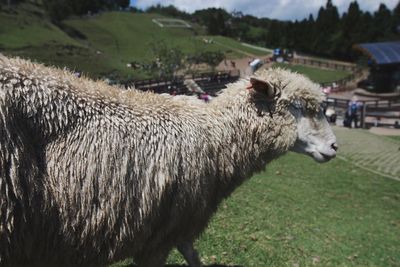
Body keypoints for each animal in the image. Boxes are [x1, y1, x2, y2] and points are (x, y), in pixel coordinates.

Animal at [0, 55, 338, 267]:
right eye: (299, 107)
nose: (334, 147)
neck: (217, 136)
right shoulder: (161, 235)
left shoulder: (179, 226)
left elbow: (194, 257)